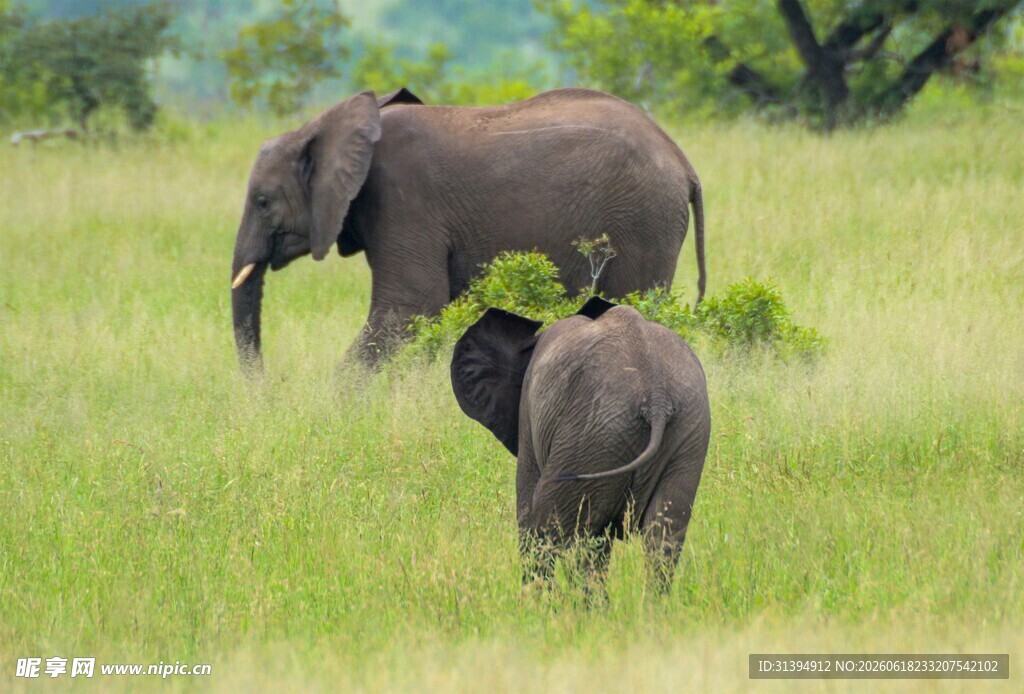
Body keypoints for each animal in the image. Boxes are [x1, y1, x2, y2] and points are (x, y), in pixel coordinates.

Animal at [231, 87, 706, 370]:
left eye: (263, 202)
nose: (265, 389)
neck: (325, 125)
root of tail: (683, 162)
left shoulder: (402, 201)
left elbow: (411, 306)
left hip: (642, 221)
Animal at [450, 297, 711, 589]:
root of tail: (656, 395)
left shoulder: (528, 415)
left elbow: (528, 508)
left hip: (594, 434)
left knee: (562, 531)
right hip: (687, 430)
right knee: (662, 536)